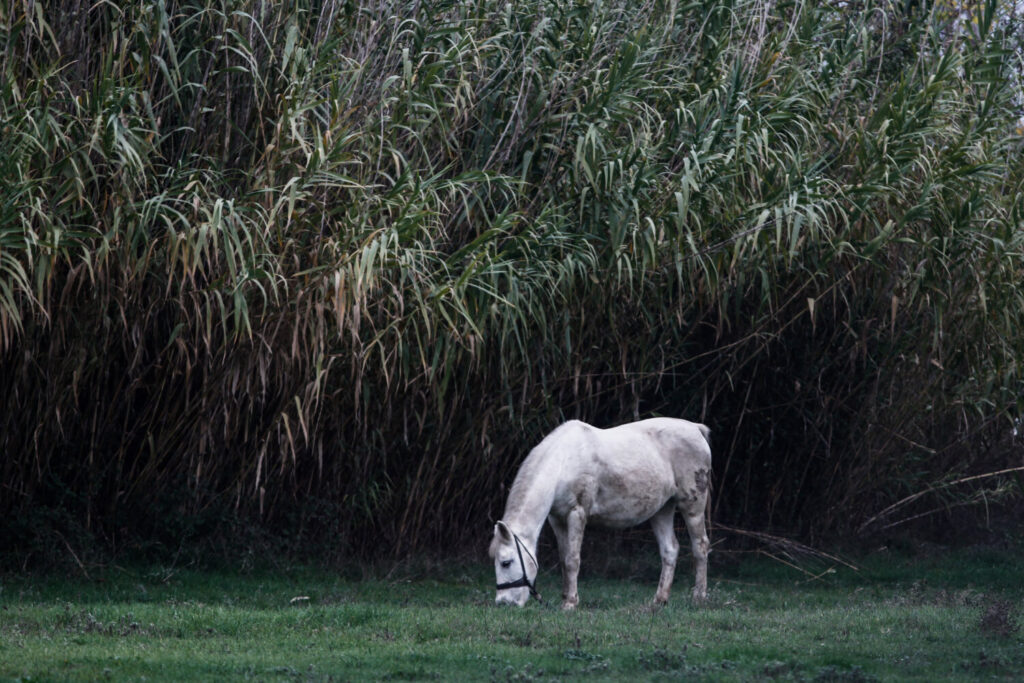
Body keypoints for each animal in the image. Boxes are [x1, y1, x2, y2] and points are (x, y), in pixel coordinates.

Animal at [489, 417, 712, 610]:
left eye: (506, 562)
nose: (503, 602)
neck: (563, 463)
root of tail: (696, 428)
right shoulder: (557, 519)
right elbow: (563, 559)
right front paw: (565, 598)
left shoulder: (577, 513)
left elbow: (572, 560)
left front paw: (570, 603)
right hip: (662, 510)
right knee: (670, 550)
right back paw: (659, 601)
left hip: (692, 504)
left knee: (700, 546)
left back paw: (698, 598)